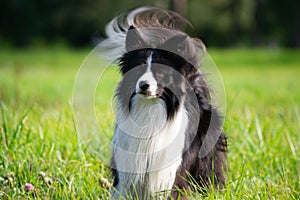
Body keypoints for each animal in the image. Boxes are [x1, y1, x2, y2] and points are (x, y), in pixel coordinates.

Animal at [103, 6, 227, 200]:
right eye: (138, 69)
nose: (143, 85)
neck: (150, 108)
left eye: (161, 73)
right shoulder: (127, 171)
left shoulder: (165, 173)